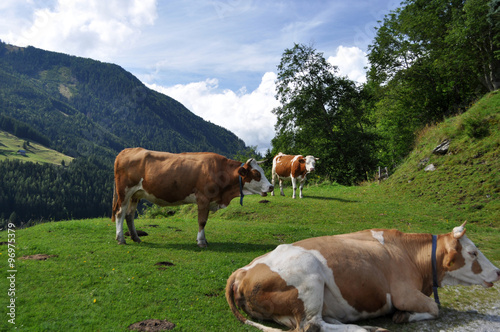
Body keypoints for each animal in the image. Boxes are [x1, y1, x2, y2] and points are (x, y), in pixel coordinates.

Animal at [112, 148, 274, 246]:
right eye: (256, 174)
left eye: (261, 171)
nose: (271, 186)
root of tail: (127, 150)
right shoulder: (203, 198)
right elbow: (202, 221)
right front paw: (201, 241)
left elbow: (205, 220)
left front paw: (204, 240)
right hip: (124, 192)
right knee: (120, 213)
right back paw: (121, 239)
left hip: (136, 194)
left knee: (129, 215)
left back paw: (136, 238)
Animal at [227, 220, 500, 332]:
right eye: (473, 252)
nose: (498, 271)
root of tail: (243, 270)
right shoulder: (403, 293)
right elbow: (435, 308)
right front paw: (404, 316)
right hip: (310, 278)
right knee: (310, 326)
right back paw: (364, 330)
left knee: (320, 322)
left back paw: (369, 326)